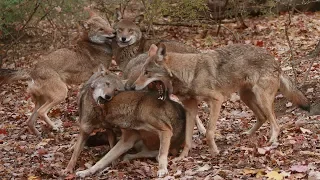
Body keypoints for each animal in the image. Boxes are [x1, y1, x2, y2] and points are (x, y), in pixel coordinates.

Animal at [130, 43, 310, 160]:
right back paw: (247, 135)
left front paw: (214, 152)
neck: (190, 73)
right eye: (142, 72)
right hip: (246, 97)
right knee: (263, 117)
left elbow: (209, 132)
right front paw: (182, 157)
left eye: (147, 73)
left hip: (261, 97)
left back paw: (272, 141)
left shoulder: (216, 100)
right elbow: (188, 138)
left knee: (275, 123)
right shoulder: (190, 108)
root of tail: (275, 60)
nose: (132, 87)